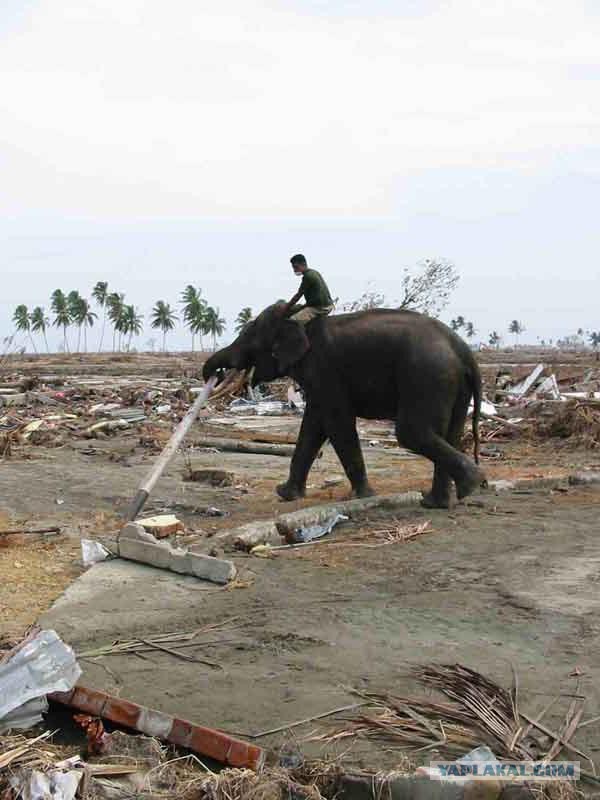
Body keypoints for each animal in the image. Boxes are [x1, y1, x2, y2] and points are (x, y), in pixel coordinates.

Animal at [204, 304, 486, 510]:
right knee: (450, 433)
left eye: (248, 341)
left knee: (411, 432)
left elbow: (336, 422)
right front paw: (285, 494)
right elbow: (314, 425)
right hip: (450, 382)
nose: (215, 374)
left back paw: (470, 484)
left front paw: (362, 496)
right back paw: (438, 502)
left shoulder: (324, 369)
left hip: (426, 375)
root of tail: (464, 350)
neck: (297, 319)